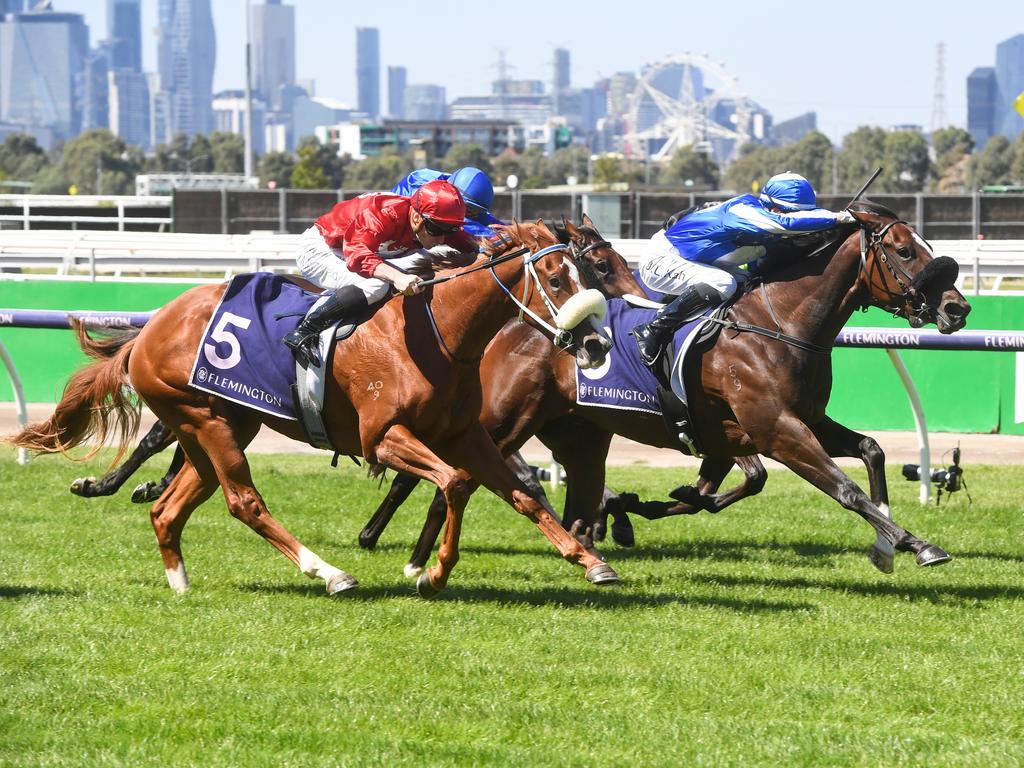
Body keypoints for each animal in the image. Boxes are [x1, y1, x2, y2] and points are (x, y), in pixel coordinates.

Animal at [6, 219, 614, 598]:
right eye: (556, 279)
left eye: (590, 274)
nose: (596, 345)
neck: (437, 331)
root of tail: (151, 327)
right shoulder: (383, 437)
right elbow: (456, 484)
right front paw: (433, 574)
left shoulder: (465, 434)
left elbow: (523, 494)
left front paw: (591, 562)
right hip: (204, 421)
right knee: (243, 501)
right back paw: (329, 573)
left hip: (222, 423)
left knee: (172, 507)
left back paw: (180, 581)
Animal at [368, 204, 966, 577]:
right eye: (905, 252)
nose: (957, 308)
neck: (778, 323)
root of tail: (516, 323)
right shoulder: (775, 428)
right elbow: (844, 489)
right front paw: (918, 545)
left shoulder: (801, 420)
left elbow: (871, 449)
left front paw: (891, 542)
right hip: (504, 420)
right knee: (453, 474)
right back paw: (414, 555)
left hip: (580, 433)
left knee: (564, 494)